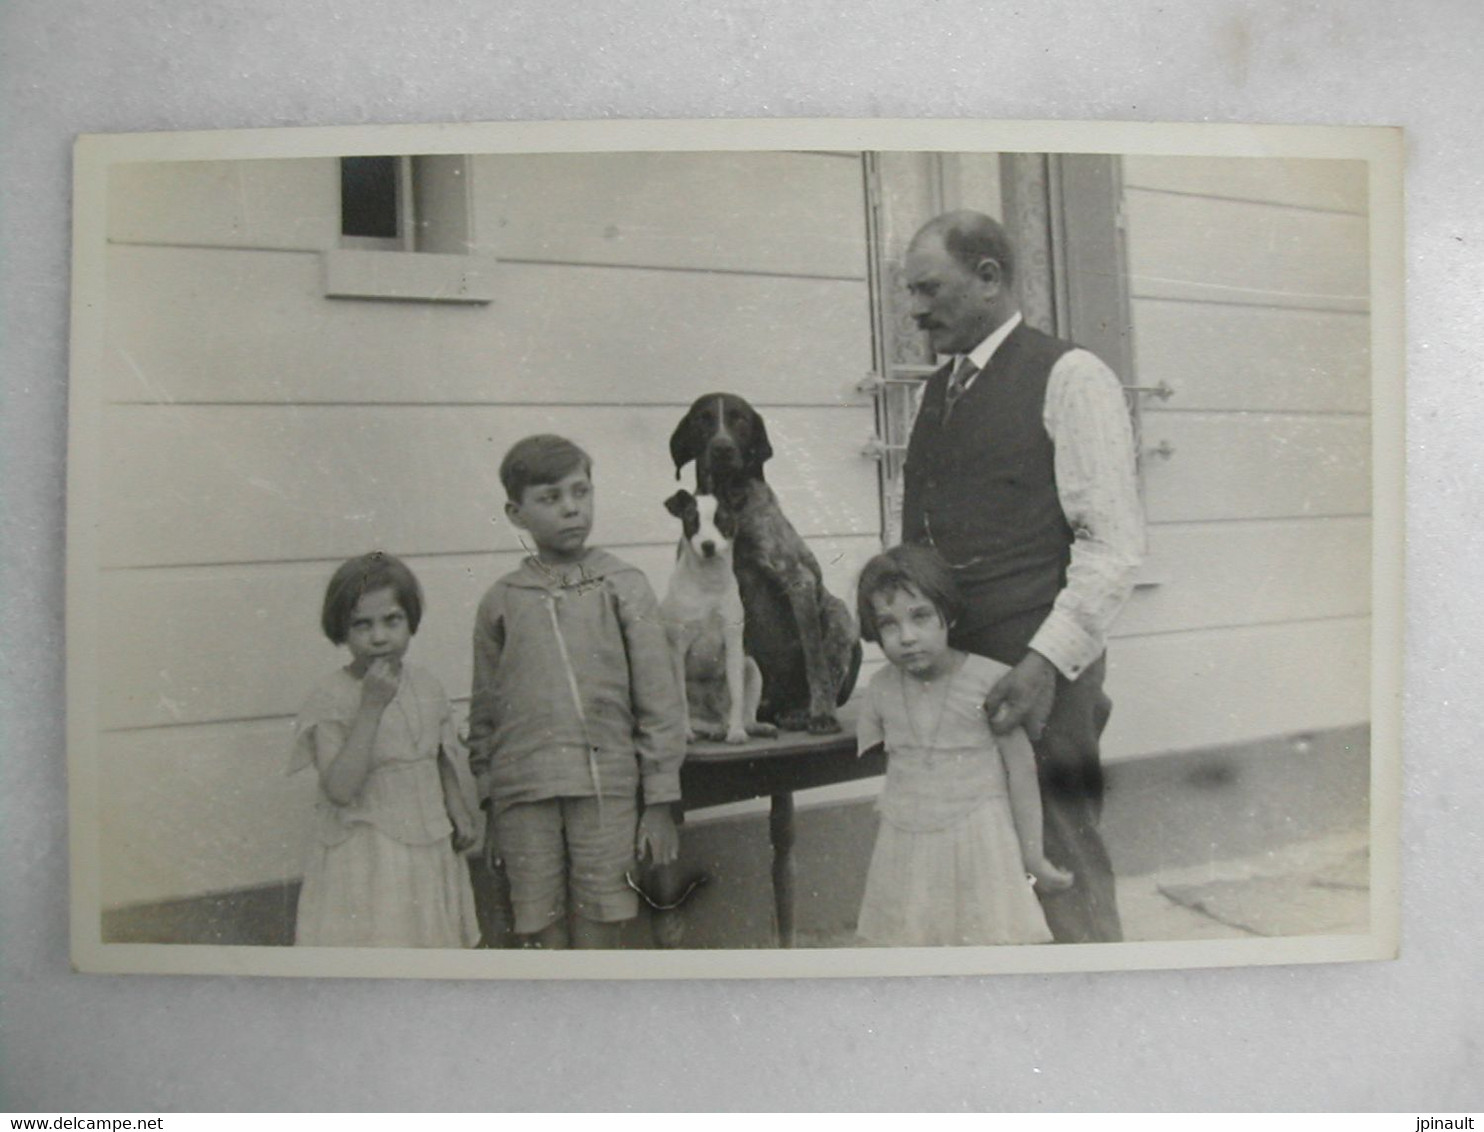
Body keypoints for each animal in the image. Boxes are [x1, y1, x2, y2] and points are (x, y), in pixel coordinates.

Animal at [670, 394, 866, 738]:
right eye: (702, 419)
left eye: (740, 419)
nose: (722, 448)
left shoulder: (798, 581)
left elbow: (815, 661)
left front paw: (822, 715)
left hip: (837, 611)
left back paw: (802, 711)